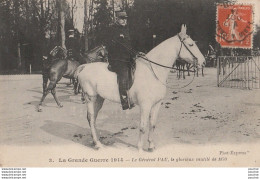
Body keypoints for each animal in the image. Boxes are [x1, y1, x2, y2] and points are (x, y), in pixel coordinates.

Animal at [76, 24, 206, 152]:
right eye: (191, 44)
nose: (203, 62)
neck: (153, 71)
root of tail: (84, 67)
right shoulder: (145, 105)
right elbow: (143, 127)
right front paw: (139, 149)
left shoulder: (156, 104)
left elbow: (152, 124)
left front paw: (151, 146)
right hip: (91, 98)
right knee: (91, 118)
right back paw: (98, 144)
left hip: (99, 98)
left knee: (93, 118)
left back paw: (96, 141)